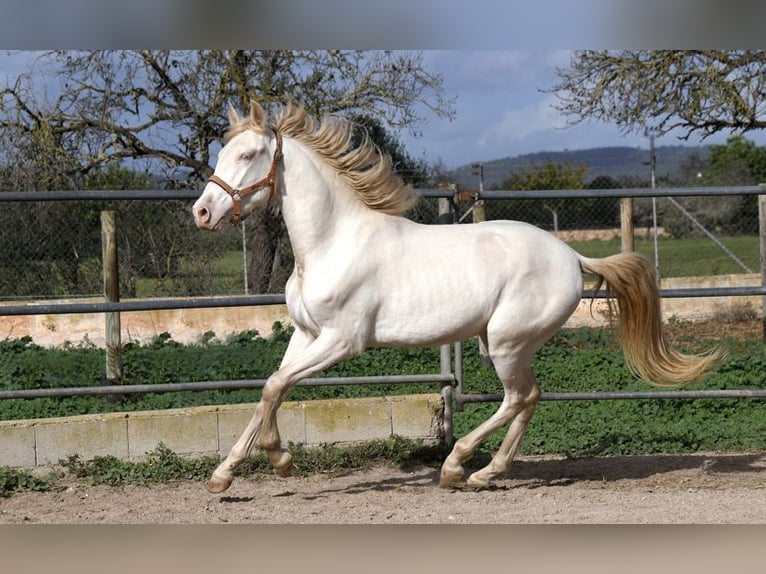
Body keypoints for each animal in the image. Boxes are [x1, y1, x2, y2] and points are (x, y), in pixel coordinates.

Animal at [192, 101, 720, 492]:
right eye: (223, 154)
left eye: (247, 156)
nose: (202, 213)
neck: (331, 243)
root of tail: (571, 256)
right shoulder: (306, 335)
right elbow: (271, 387)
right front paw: (224, 475)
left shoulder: (342, 340)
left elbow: (274, 387)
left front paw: (279, 460)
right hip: (503, 342)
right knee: (530, 397)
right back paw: (486, 472)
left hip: (506, 341)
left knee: (518, 396)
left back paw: (458, 467)